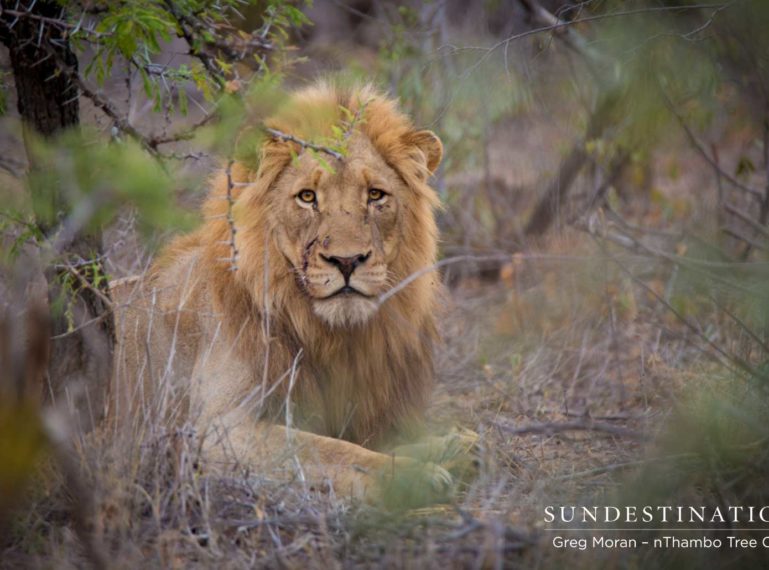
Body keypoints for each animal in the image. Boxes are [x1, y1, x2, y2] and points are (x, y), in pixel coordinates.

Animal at [109, 81, 474, 502]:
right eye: (307, 197)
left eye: (375, 195)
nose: (347, 261)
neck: (332, 337)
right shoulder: (215, 431)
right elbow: (327, 449)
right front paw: (411, 476)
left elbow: (362, 441)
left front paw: (453, 444)